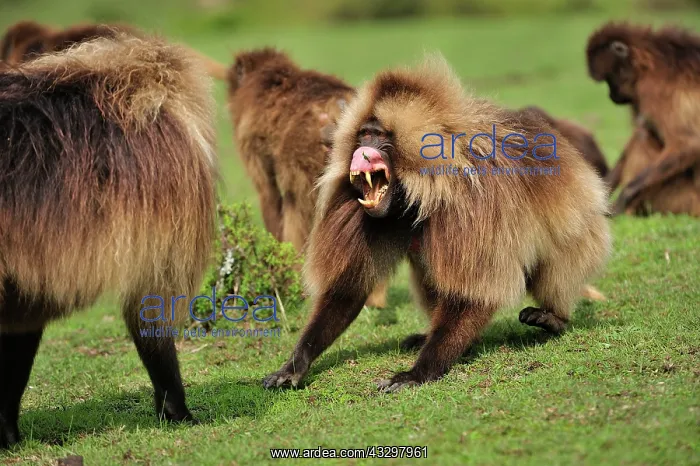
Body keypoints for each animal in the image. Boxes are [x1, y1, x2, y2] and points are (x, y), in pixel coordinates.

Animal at [261, 56, 611, 393]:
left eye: (380, 137)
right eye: (363, 134)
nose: (361, 152)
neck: (417, 191)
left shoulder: (469, 205)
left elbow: (473, 296)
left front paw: (417, 373)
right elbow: (348, 289)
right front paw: (294, 366)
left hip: (584, 230)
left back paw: (553, 319)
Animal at [587, 22, 700, 216]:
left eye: (610, 79)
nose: (611, 95)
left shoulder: (653, 88)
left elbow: (689, 143)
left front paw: (623, 198)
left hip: (683, 198)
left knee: (643, 135)